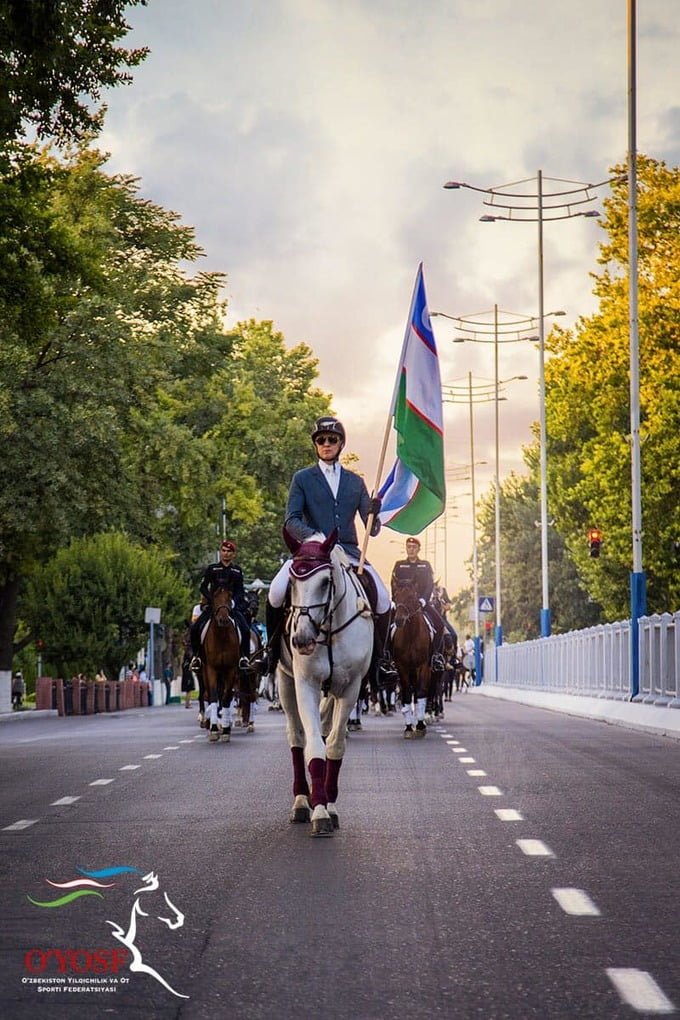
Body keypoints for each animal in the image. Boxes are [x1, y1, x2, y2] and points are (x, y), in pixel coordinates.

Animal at [200, 587, 240, 746]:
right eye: (215, 597)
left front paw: (226, 731)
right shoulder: (211, 669)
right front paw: (214, 729)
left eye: (230, 596)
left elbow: (227, 697)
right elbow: (213, 696)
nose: (223, 619)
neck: (222, 636)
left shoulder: (231, 669)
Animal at [277, 530, 375, 832]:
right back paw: (301, 801)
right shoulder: (305, 683)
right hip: (285, 681)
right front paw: (318, 809)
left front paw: (329, 805)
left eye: (325, 582)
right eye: (292, 582)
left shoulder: (351, 687)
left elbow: (335, 744)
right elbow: (314, 746)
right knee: (297, 737)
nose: (302, 639)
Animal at [393, 579, 436, 738]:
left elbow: (421, 693)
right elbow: (406, 694)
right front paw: (408, 728)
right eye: (395, 597)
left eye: (411, 597)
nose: (399, 620)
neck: (411, 635)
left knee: (421, 693)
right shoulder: (402, 667)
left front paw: (420, 726)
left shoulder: (423, 666)